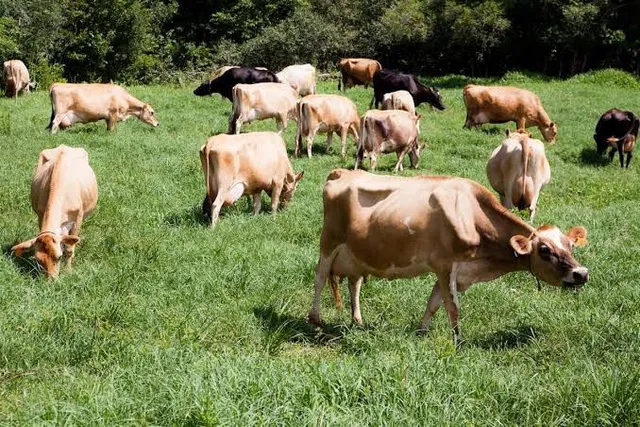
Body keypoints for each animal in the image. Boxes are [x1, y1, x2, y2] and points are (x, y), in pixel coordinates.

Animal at [11, 145, 98, 279]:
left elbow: (69, 248)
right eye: (39, 260)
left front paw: (68, 271)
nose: (51, 280)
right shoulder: (40, 214)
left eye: (59, 257)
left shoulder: (77, 218)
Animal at [307, 168, 589, 345]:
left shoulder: (458, 272)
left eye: (570, 246)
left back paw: (357, 320)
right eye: (545, 250)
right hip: (329, 242)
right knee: (319, 277)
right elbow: (452, 307)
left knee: (354, 284)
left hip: (356, 253)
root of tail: (343, 172)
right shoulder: (445, 265)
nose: (582, 273)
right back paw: (315, 319)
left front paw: (422, 332)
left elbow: (433, 303)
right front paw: (458, 341)